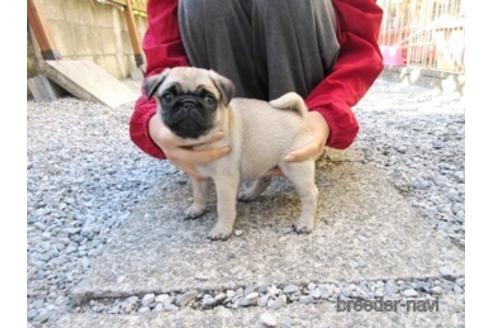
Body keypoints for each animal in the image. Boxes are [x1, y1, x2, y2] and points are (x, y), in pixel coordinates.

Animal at [144, 66, 318, 241]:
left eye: (209, 99)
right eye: (167, 97)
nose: (188, 103)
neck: (200, 140)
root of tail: (298, 116)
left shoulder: (225, 180)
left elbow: (224, 206)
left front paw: (223, 229)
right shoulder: (198, 175)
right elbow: (198, 194)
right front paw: (197, 208)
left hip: (295, 166)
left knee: (310, 194)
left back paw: (305, 223)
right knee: (265, 179)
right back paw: (250, 194)